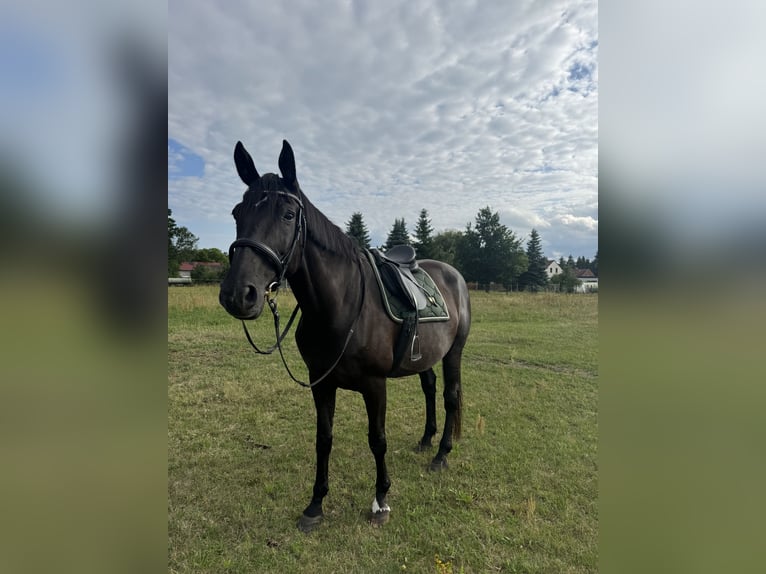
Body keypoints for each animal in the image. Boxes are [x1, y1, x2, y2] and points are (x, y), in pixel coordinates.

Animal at [219, 140, 471, 532]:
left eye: (288, 215)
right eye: (236, 212)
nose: (238, 294)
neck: (340, 304)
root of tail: (453, 274)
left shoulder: (374, 384)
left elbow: (377, 440)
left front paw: (381, 500)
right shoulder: (321, 382)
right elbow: (323, 439)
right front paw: (315, 505)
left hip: (453, 352)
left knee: (449, 396)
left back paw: (441, 454)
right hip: (426, 355)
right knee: (429, 388)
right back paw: (426, 440)